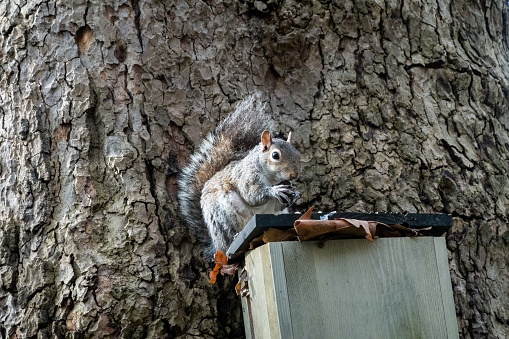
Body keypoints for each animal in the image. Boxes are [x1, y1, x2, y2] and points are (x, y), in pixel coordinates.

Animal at [177, 94, 300, 262]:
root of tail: (216, 246)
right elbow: (252, 195)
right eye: (275, 155)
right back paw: (234, 237)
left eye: (298, 153)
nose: (295, 175)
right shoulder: (246, 176)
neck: (271, 178)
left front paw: (295, 194)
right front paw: (274, 191)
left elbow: (278, 205)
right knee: (229, 239)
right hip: (223, 214)